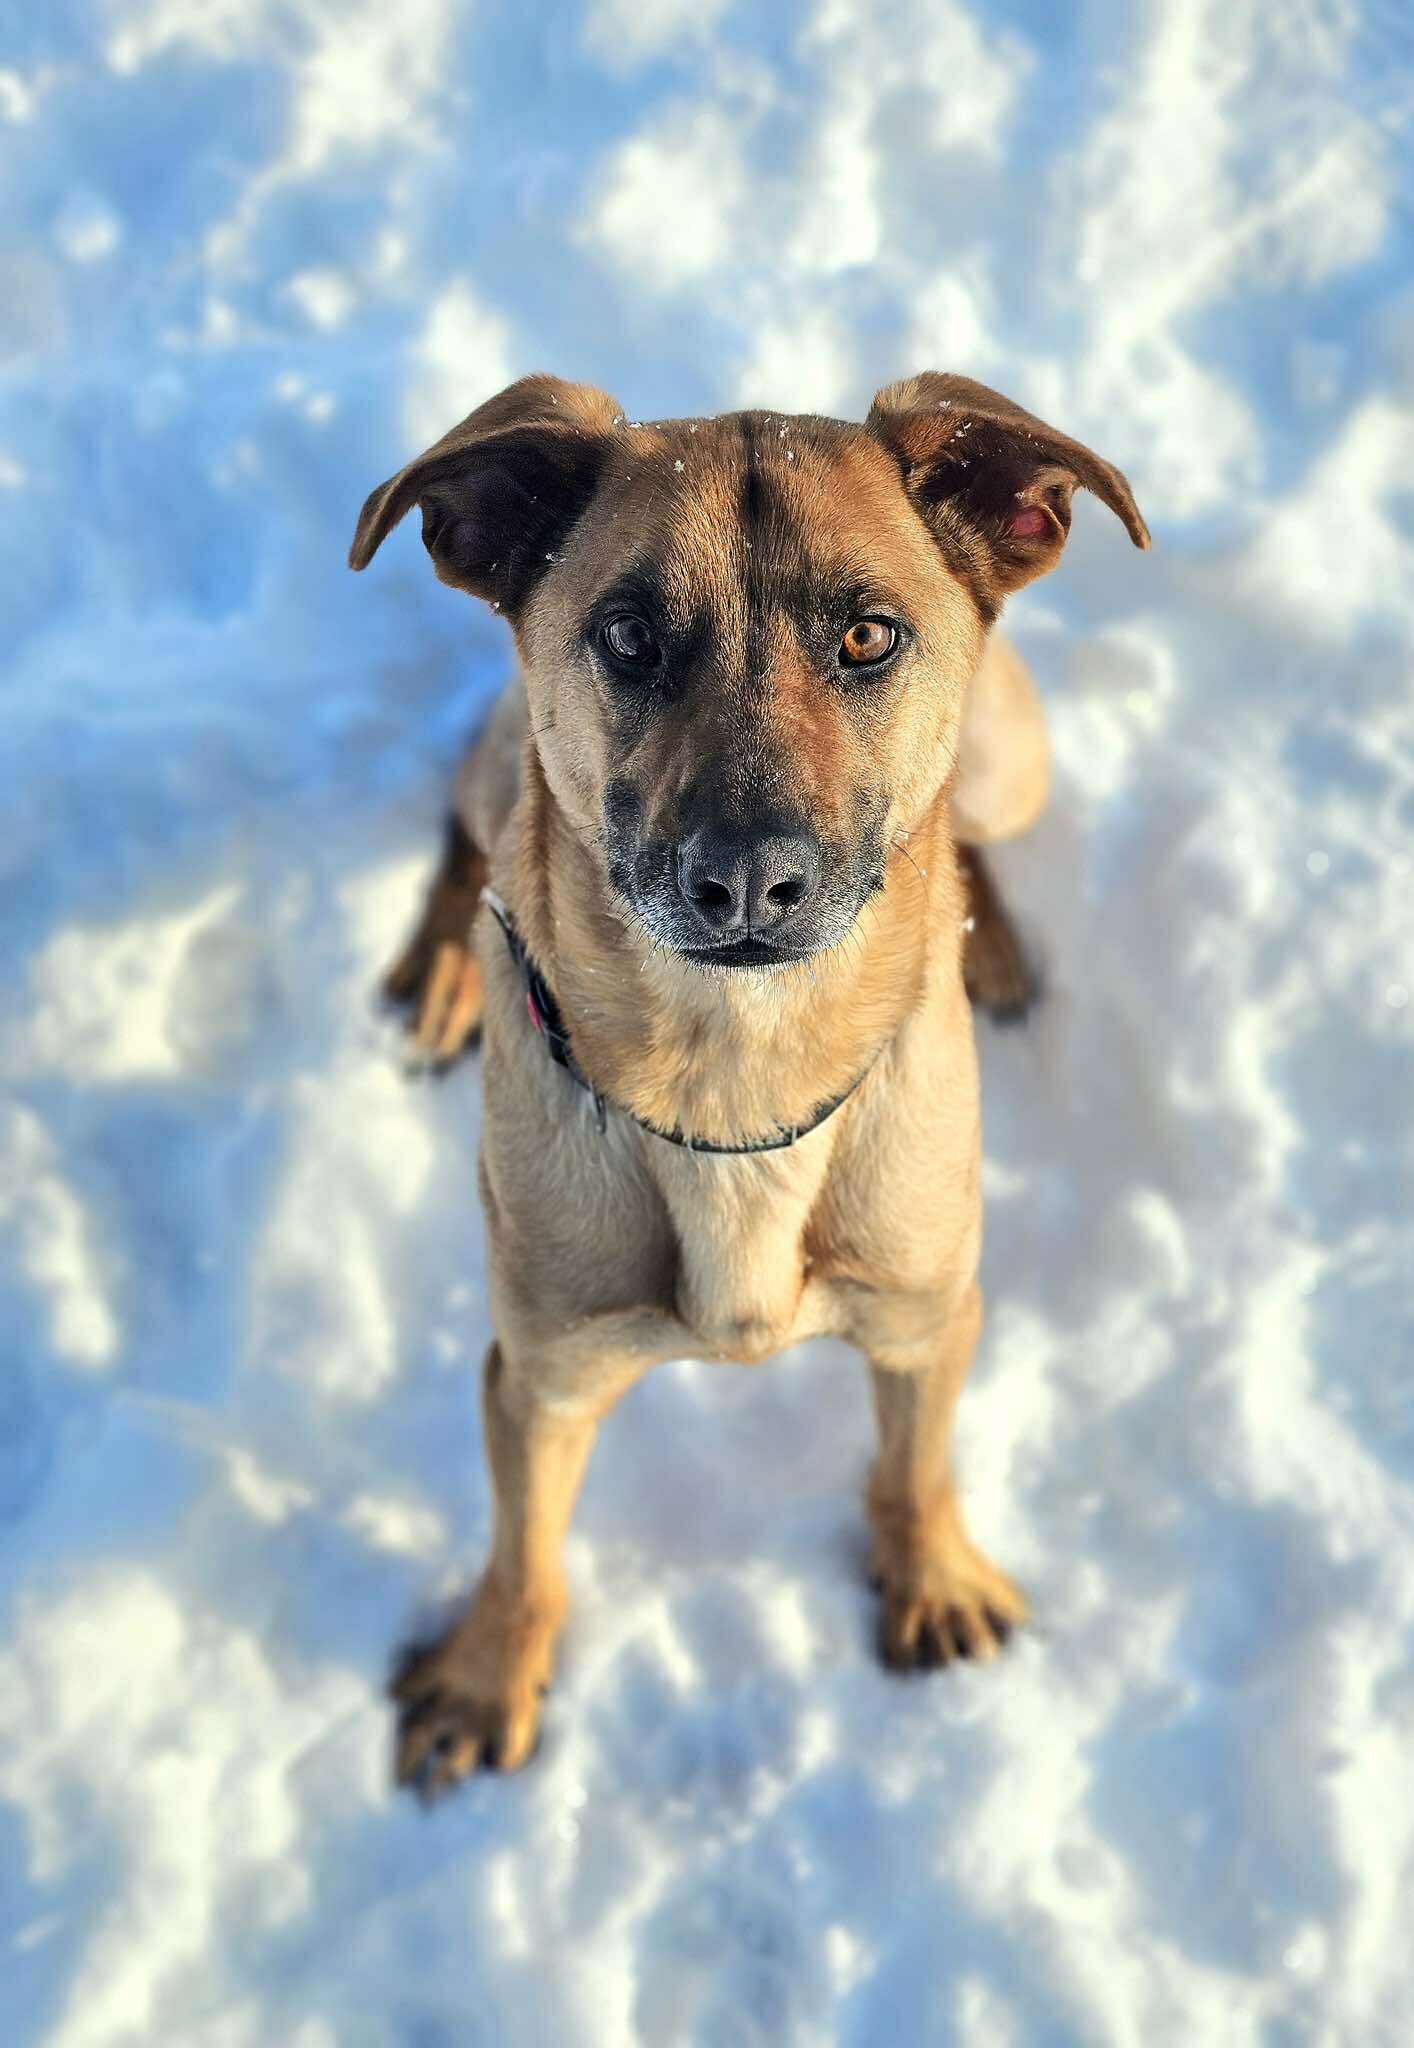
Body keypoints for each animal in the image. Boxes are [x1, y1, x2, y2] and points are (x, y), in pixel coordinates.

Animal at [350, 372, 1148, 1798]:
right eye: (627, 633)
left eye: (869, 636)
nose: (746, 880)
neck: (734, 1079)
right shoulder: (540, 1371)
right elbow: (525, 1551)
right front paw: (492, 1672)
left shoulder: (927, 1312)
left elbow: (914, 1467)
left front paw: (931, 1578)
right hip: (500, 762)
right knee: (465, 828)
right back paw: (443, 965)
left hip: (1009, 759)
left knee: (972, 841)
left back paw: (989, 944)